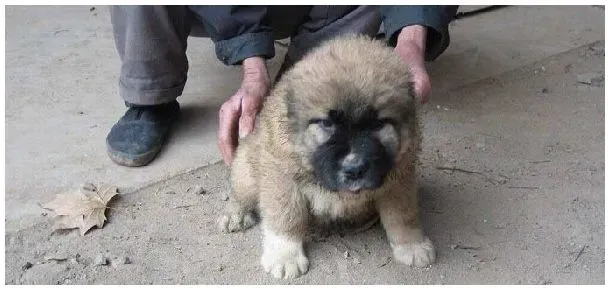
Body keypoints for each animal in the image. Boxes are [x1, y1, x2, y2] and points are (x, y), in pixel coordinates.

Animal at [218, 33, 432, 278]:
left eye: (378, 124)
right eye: (326, 124)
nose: (354, 169)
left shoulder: (399, 179)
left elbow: (403, 215)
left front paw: (412, 245)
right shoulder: (282, 179)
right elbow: (285, 219)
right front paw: (285, 256)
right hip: (247, 168)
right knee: (240, 192)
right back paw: (236, 214)